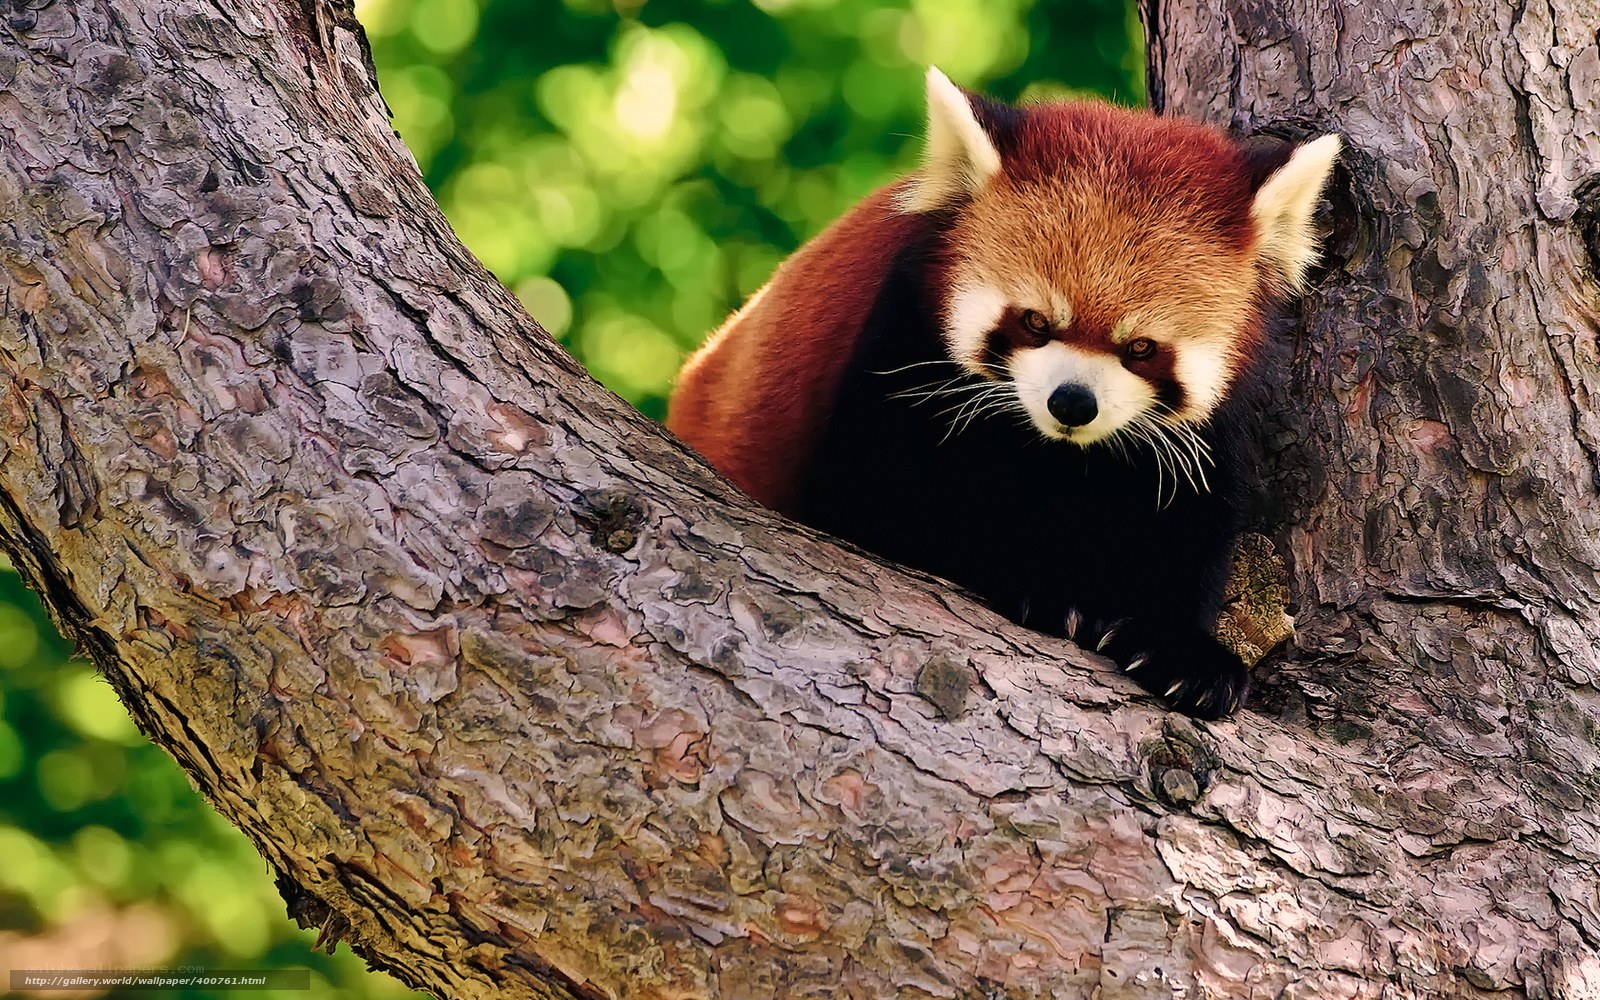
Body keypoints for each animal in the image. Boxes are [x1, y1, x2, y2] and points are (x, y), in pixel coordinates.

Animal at [667, 67, 1339, 718]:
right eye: (1036, 322)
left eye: (1142, 348)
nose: (1072, 403)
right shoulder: (897, 343)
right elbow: (883, 505)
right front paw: (1041, 586)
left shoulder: (1213, 429)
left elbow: (1190, 520)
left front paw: (1185, 653)